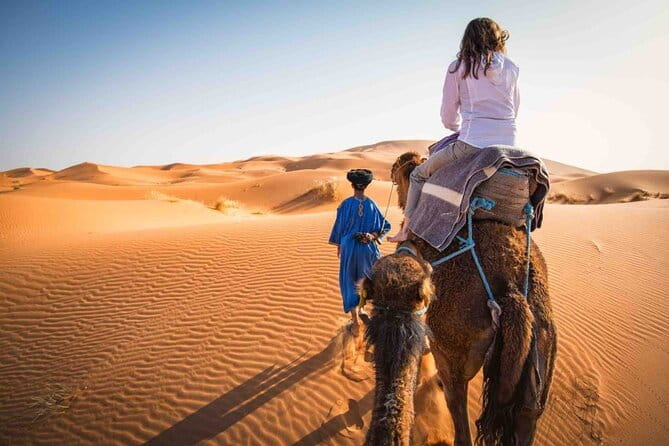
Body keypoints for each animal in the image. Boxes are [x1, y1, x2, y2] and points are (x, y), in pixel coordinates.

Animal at [361, 152, 557, 446]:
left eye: (398, 169)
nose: (391, 171)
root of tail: (511, 290)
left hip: (454, 346)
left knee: (458, 412)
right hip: (540, 353)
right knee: (526, 414)